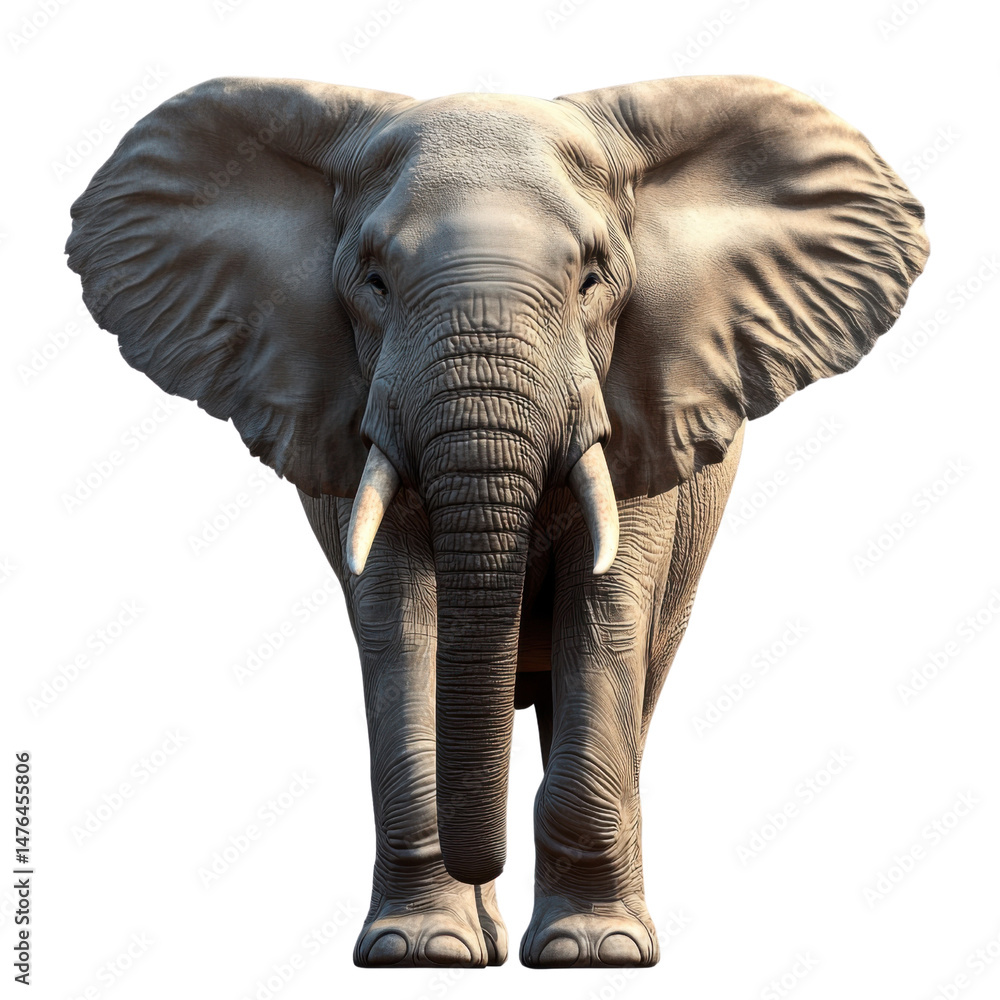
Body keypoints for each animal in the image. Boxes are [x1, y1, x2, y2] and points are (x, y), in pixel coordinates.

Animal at [66, 74, 928, 969]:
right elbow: (398, 619)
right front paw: (421, 952)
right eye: (374, 282)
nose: (482, 859)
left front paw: (597, 953)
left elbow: (607, 608)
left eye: (593, 282)